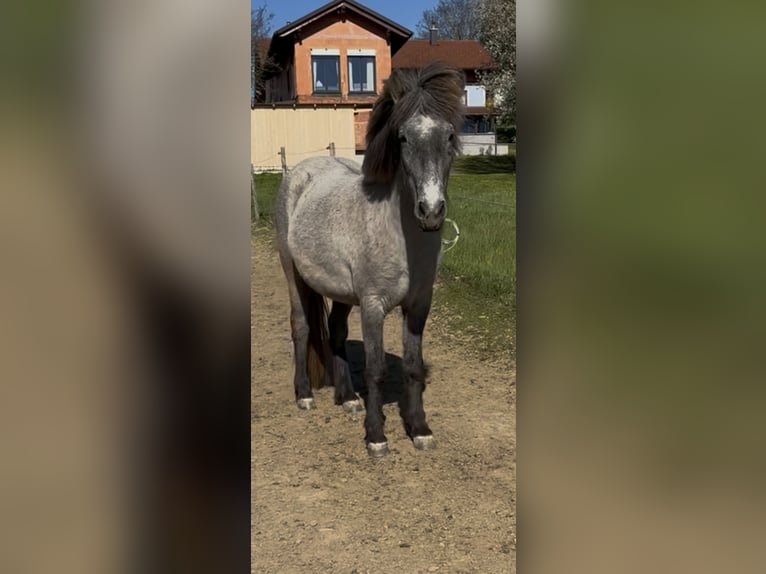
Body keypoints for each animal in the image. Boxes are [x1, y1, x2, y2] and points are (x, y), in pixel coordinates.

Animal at [274, 62, 465, 456]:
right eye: (403, 138)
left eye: (449, 135)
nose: (431, 211)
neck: (400, 236)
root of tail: (301, 173)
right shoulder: (374, 306)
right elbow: (376, 369)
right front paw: (376, 436)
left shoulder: (418, 306)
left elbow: (412, 367)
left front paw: (419, 429)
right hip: (293, 274)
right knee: (301, 326)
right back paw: (304, 395)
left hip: (344, 295)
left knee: (336, 331)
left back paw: (348, 398)